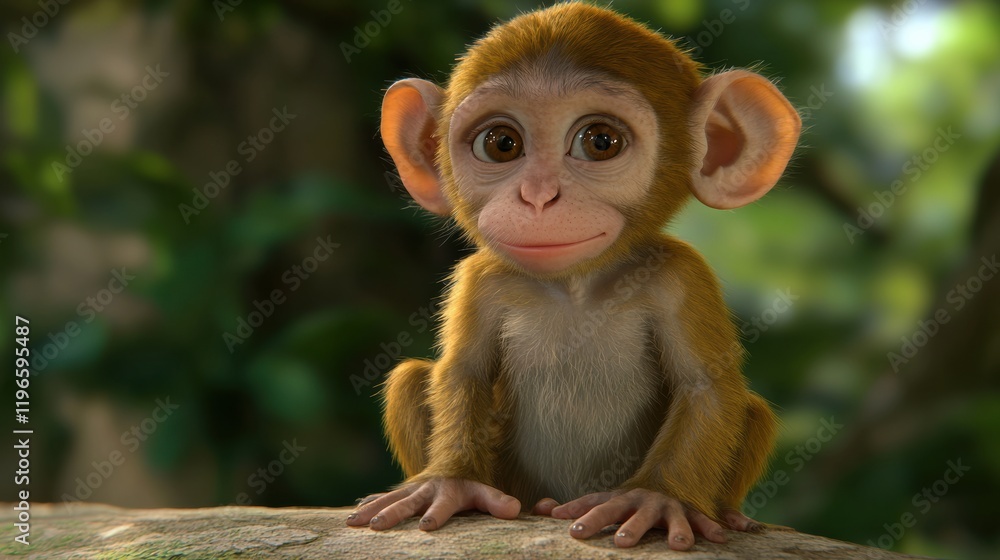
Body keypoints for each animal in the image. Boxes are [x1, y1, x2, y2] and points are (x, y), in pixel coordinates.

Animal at [347, 2, 801, 550]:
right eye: (501, 144)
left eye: (601, 141)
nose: (539, 196)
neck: (575, 287)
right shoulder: (481, 277)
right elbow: (464, 371)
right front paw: (450, 482)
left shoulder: (683, 277)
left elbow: (705, 387)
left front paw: (657, 499)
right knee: (413, 377)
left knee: (751, 410)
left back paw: (728, 515)